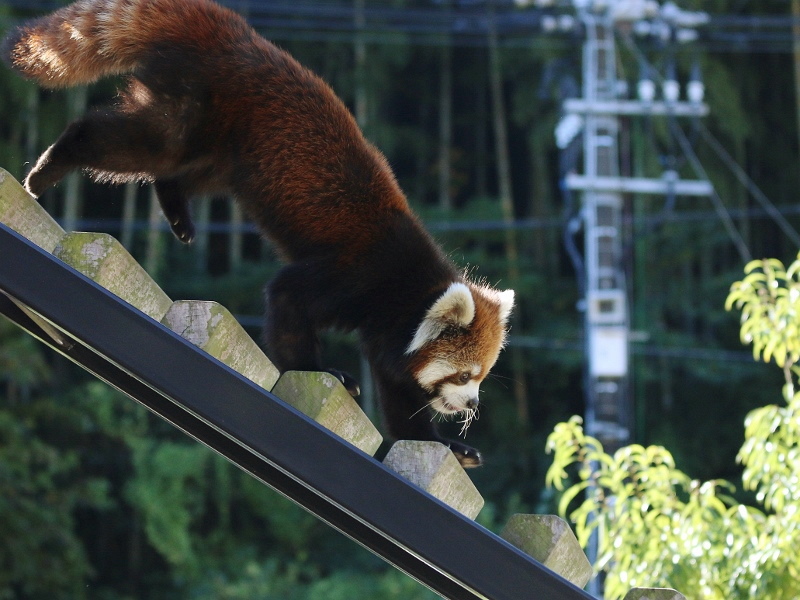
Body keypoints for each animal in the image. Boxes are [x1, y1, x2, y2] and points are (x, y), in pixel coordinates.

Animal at [3, 0, 516, 468]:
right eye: (465, 375)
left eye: (481, 378)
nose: (471, 405)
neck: (407, 289)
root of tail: (235, 33)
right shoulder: (355, 272)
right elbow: (289, 299)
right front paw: (318, 369)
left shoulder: (385, 328)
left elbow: (399, 395)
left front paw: (443, 443)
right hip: (197, 109)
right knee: (144, 143)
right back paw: (49, 167)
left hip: (228, 150)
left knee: (182, 171)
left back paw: (178, 212)